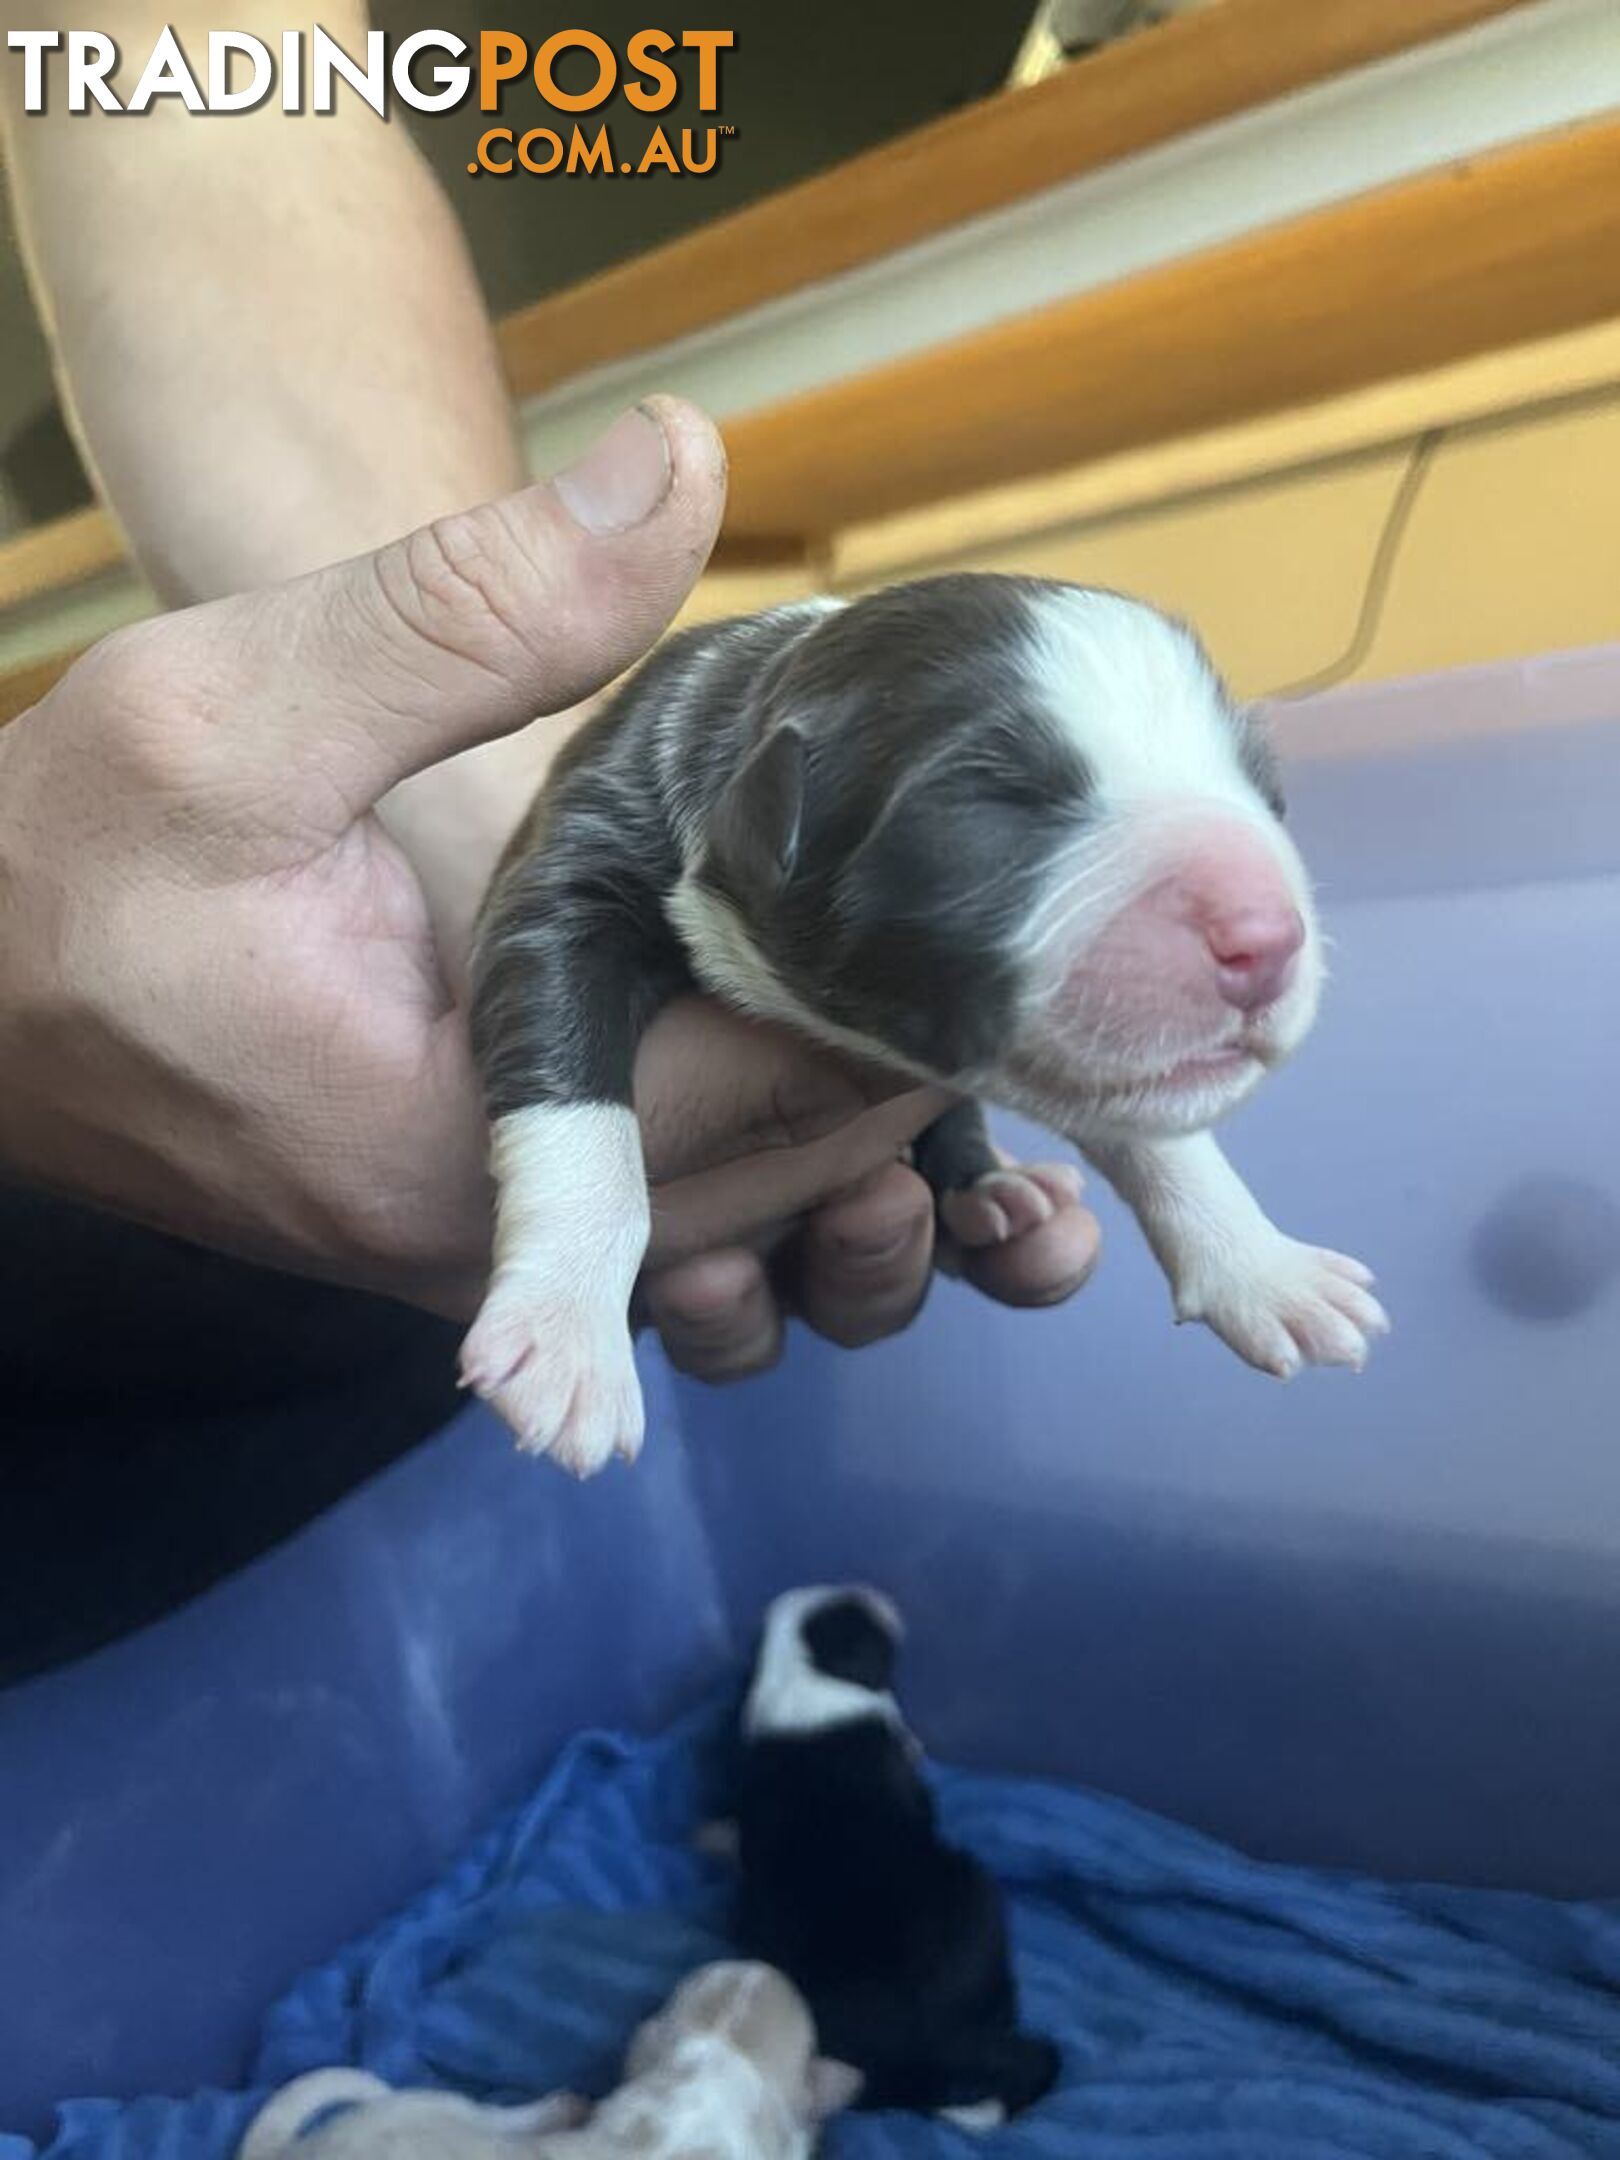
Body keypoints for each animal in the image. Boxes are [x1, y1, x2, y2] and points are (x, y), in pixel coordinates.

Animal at [462, 570, 1391, 1468]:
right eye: (992, 804)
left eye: (1266, 791)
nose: (1264, 938)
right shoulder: (572, 871)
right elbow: (578, 1109)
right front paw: (567, 1333)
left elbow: (1164, 1138)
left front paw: (1265, 1270)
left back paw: (995, 1190)